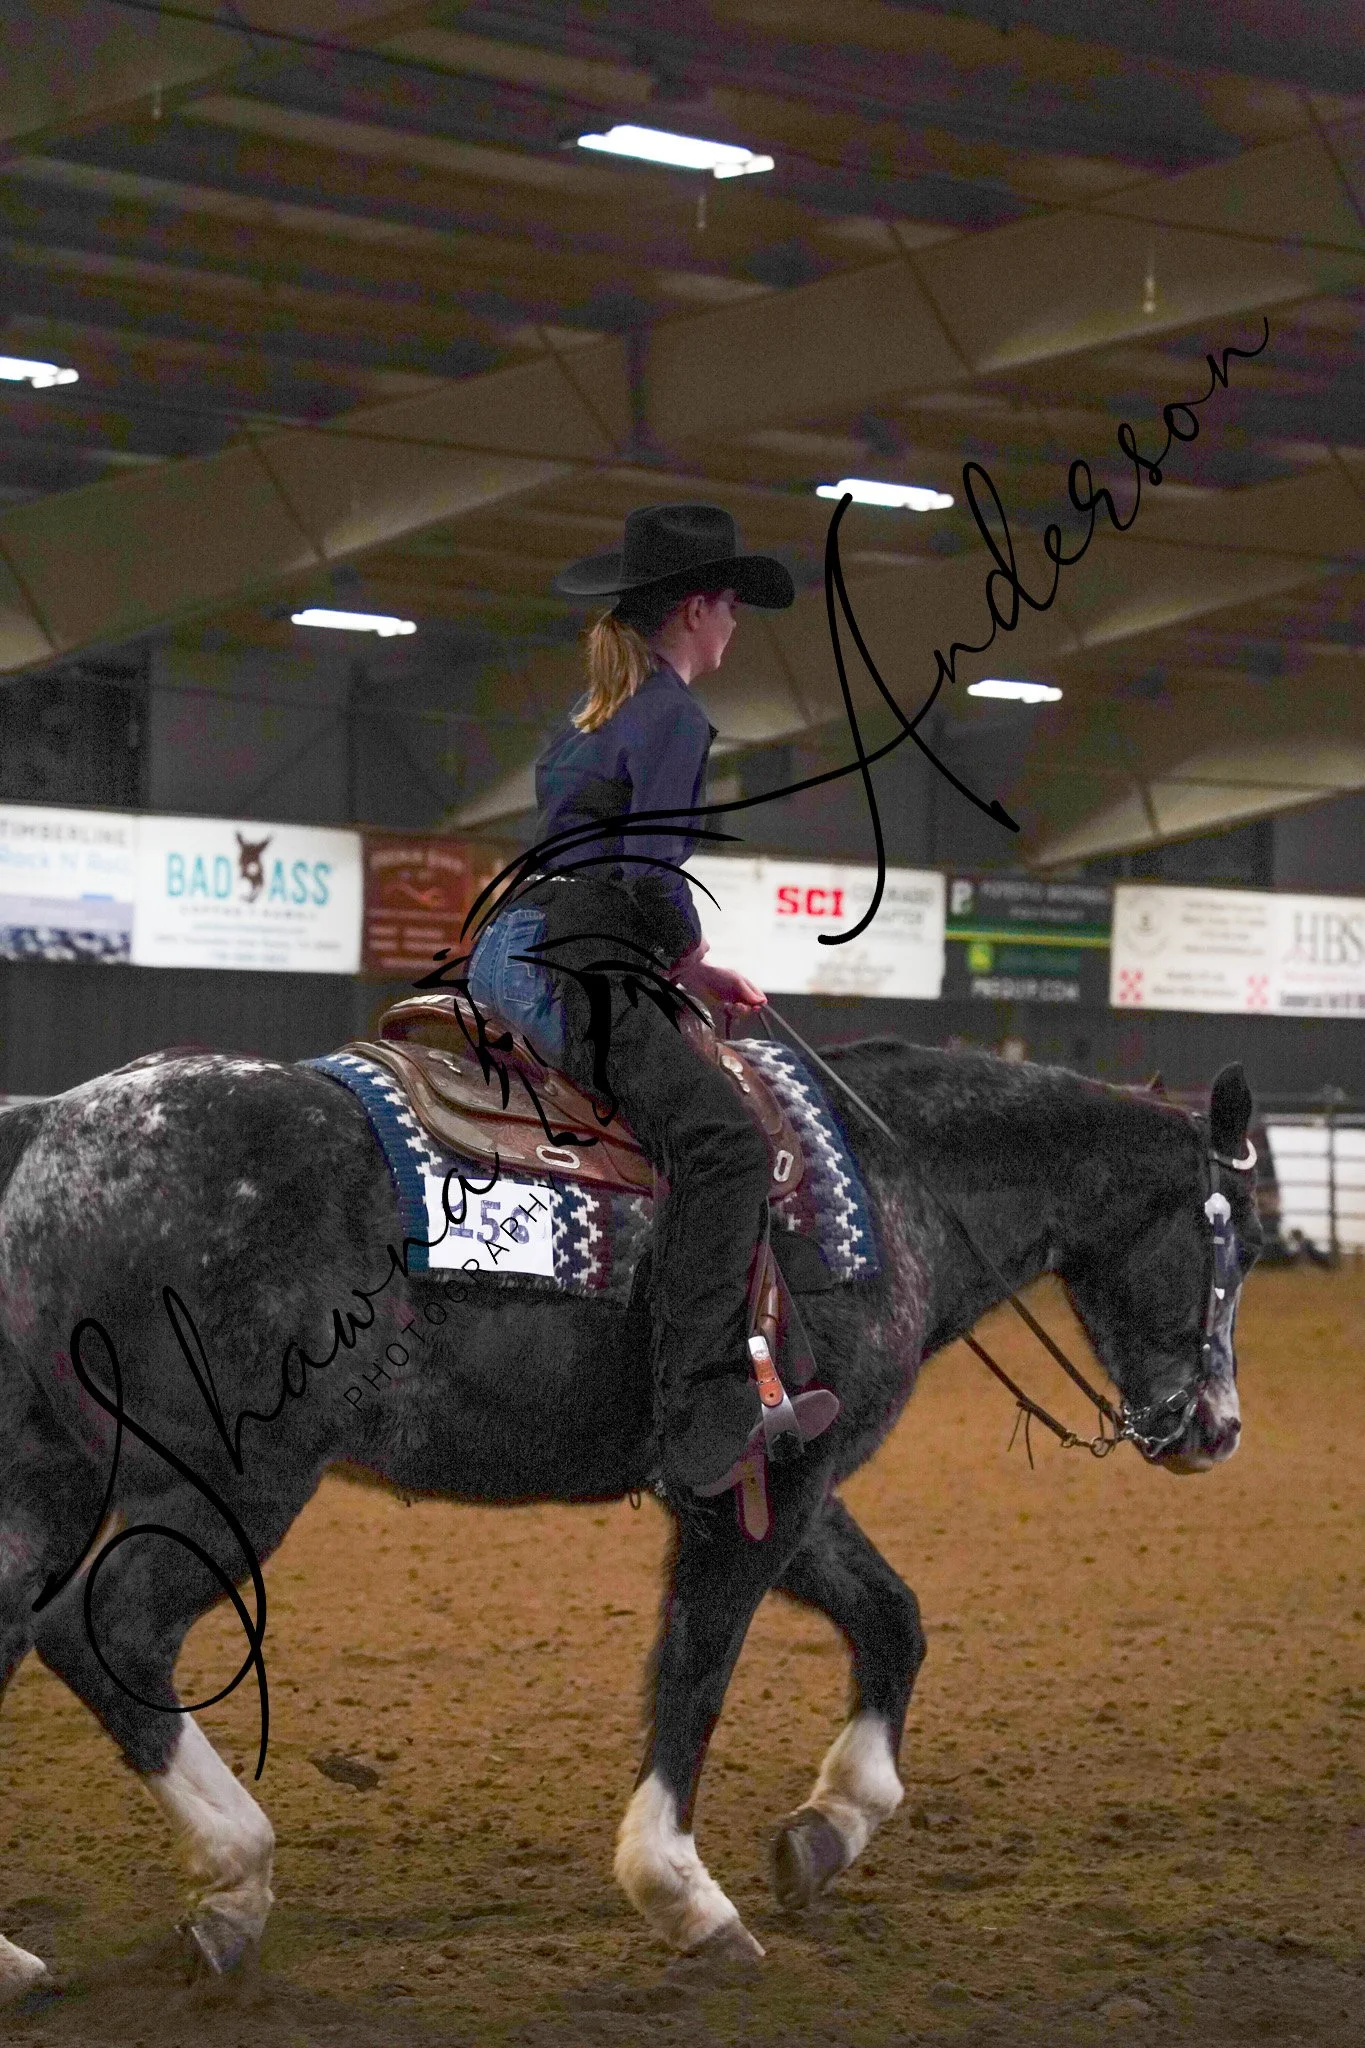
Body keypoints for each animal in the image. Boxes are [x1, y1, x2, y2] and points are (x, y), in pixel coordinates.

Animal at [0, 1036, 1260, 2000]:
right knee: (105, 1631)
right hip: (233, 1479)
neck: (891, 1189)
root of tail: (51, 1122)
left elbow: (892, 1619)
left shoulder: (785, 1481)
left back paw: (22, 1956)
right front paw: (684, 1892)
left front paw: (829, 1827)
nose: (1215, 1425)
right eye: (1234, 1244)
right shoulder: (761, 1490)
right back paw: (235, 1874)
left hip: (47, 1483)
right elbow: (697, 1668)